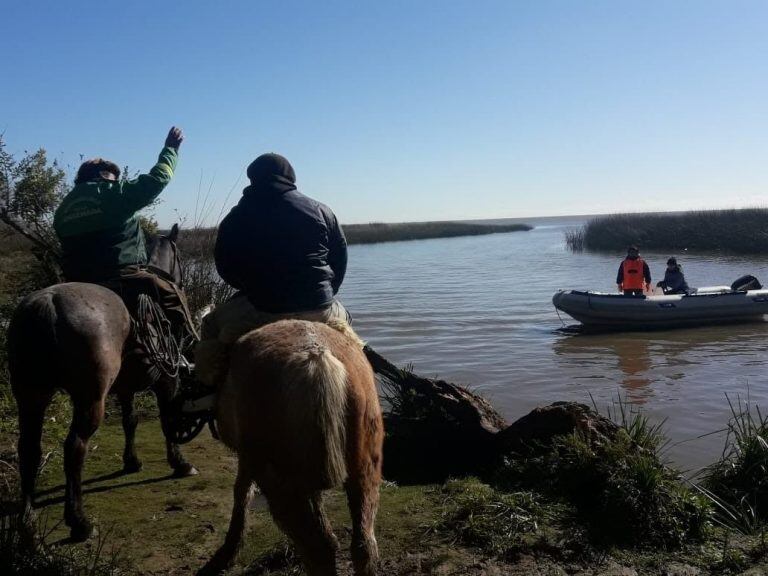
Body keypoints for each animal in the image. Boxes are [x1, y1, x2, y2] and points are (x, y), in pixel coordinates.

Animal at [8, 224, 198, 540]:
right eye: (180, 257)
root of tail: (47, 304)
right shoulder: (166, 382)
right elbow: (167, 421)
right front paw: (180, 463)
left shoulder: (125, 388)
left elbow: (130, 421)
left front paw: (131, 461)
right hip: (90, 400)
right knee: (74, 448)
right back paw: (79, 522)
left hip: (30, 396)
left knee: (29, 450)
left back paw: (27, 524)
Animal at [198, 320, 384, 576]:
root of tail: (316, 360)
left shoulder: (247, 460)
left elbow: (242, 493)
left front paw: (229, 550)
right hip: (365, 468)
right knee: (364, 545)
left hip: (278, 479)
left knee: (318, 549)